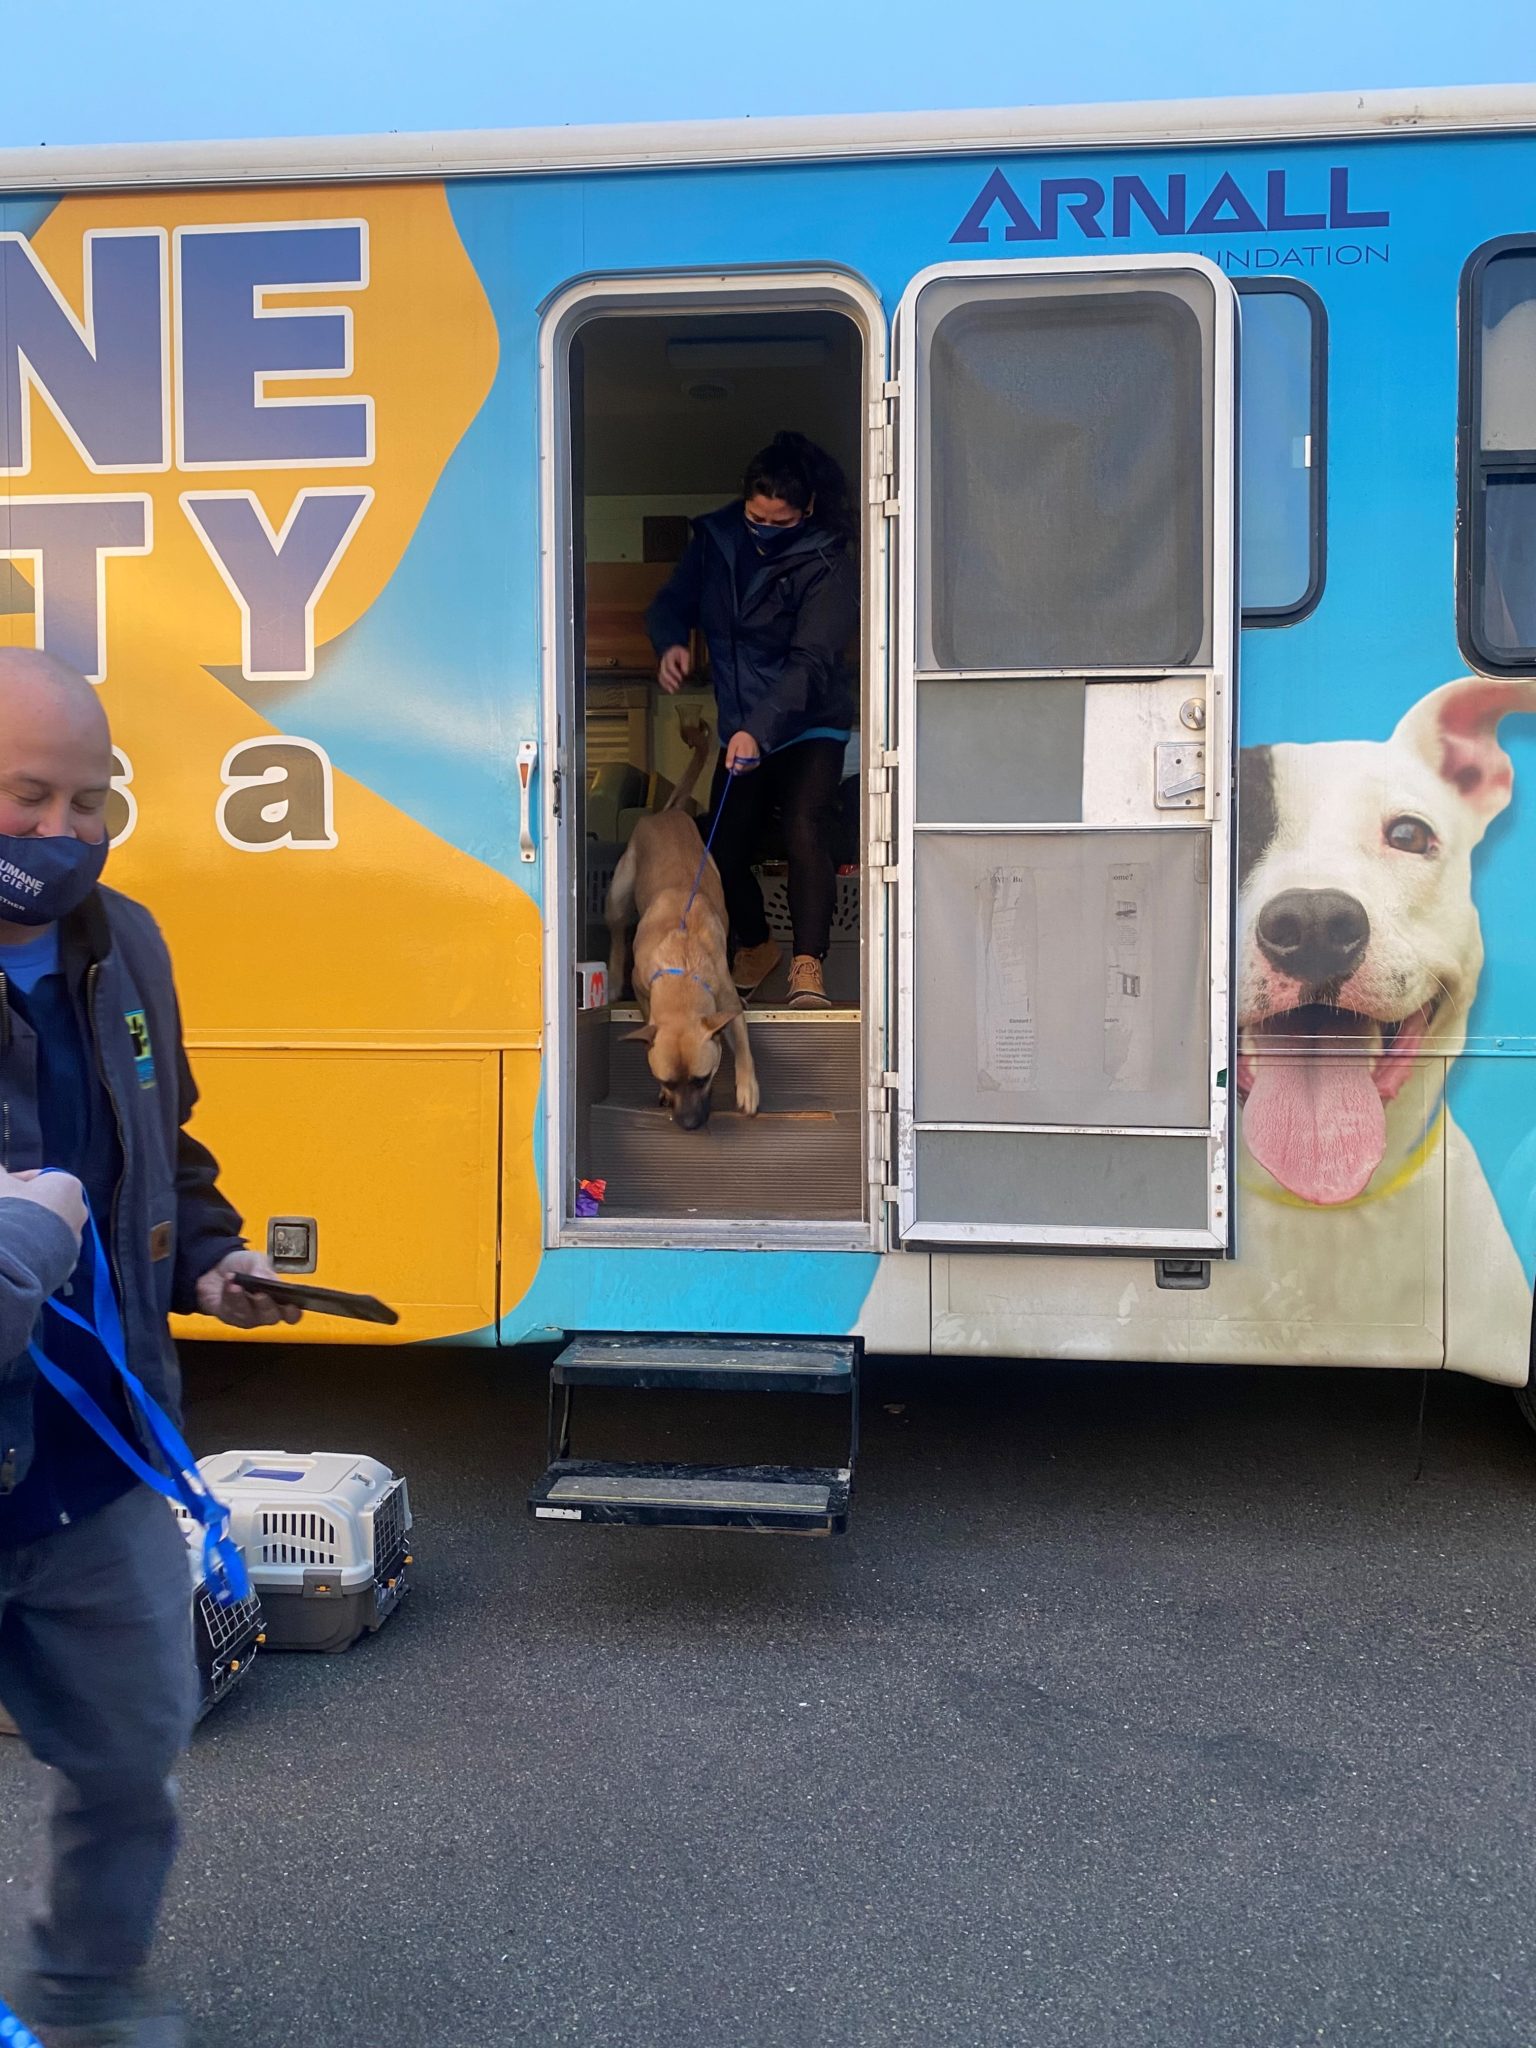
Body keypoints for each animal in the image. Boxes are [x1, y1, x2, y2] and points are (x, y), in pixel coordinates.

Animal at [605, 714, 760, 1131]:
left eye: (703, 1079)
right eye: (667, 1081)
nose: (690, 1124)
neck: (682, 961)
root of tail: (667, 812)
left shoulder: (727, 1005)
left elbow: (742, 1042)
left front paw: (747, 1085)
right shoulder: (645, 992)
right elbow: (648, 1018)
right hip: (618, 895)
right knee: (617, 931)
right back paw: (612, 975)